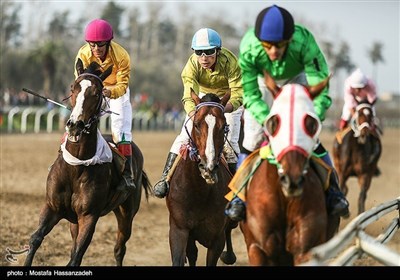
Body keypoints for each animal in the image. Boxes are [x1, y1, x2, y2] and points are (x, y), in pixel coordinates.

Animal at [24, 59, 152, 266]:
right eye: (73, 88)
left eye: (97, 92)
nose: (75, 125)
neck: (76, 166)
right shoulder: (52, 207)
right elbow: (35, 239)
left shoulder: (89, 216)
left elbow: (76, 256)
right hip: (74, 220)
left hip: (127, 213)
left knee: (119, 249)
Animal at [166, 91, 238, 266]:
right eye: (197, 124)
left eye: (224, 126)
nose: (208, 166)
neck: (199, 192)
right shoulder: (179, 228)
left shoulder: (216, 238)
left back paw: (229, 255)